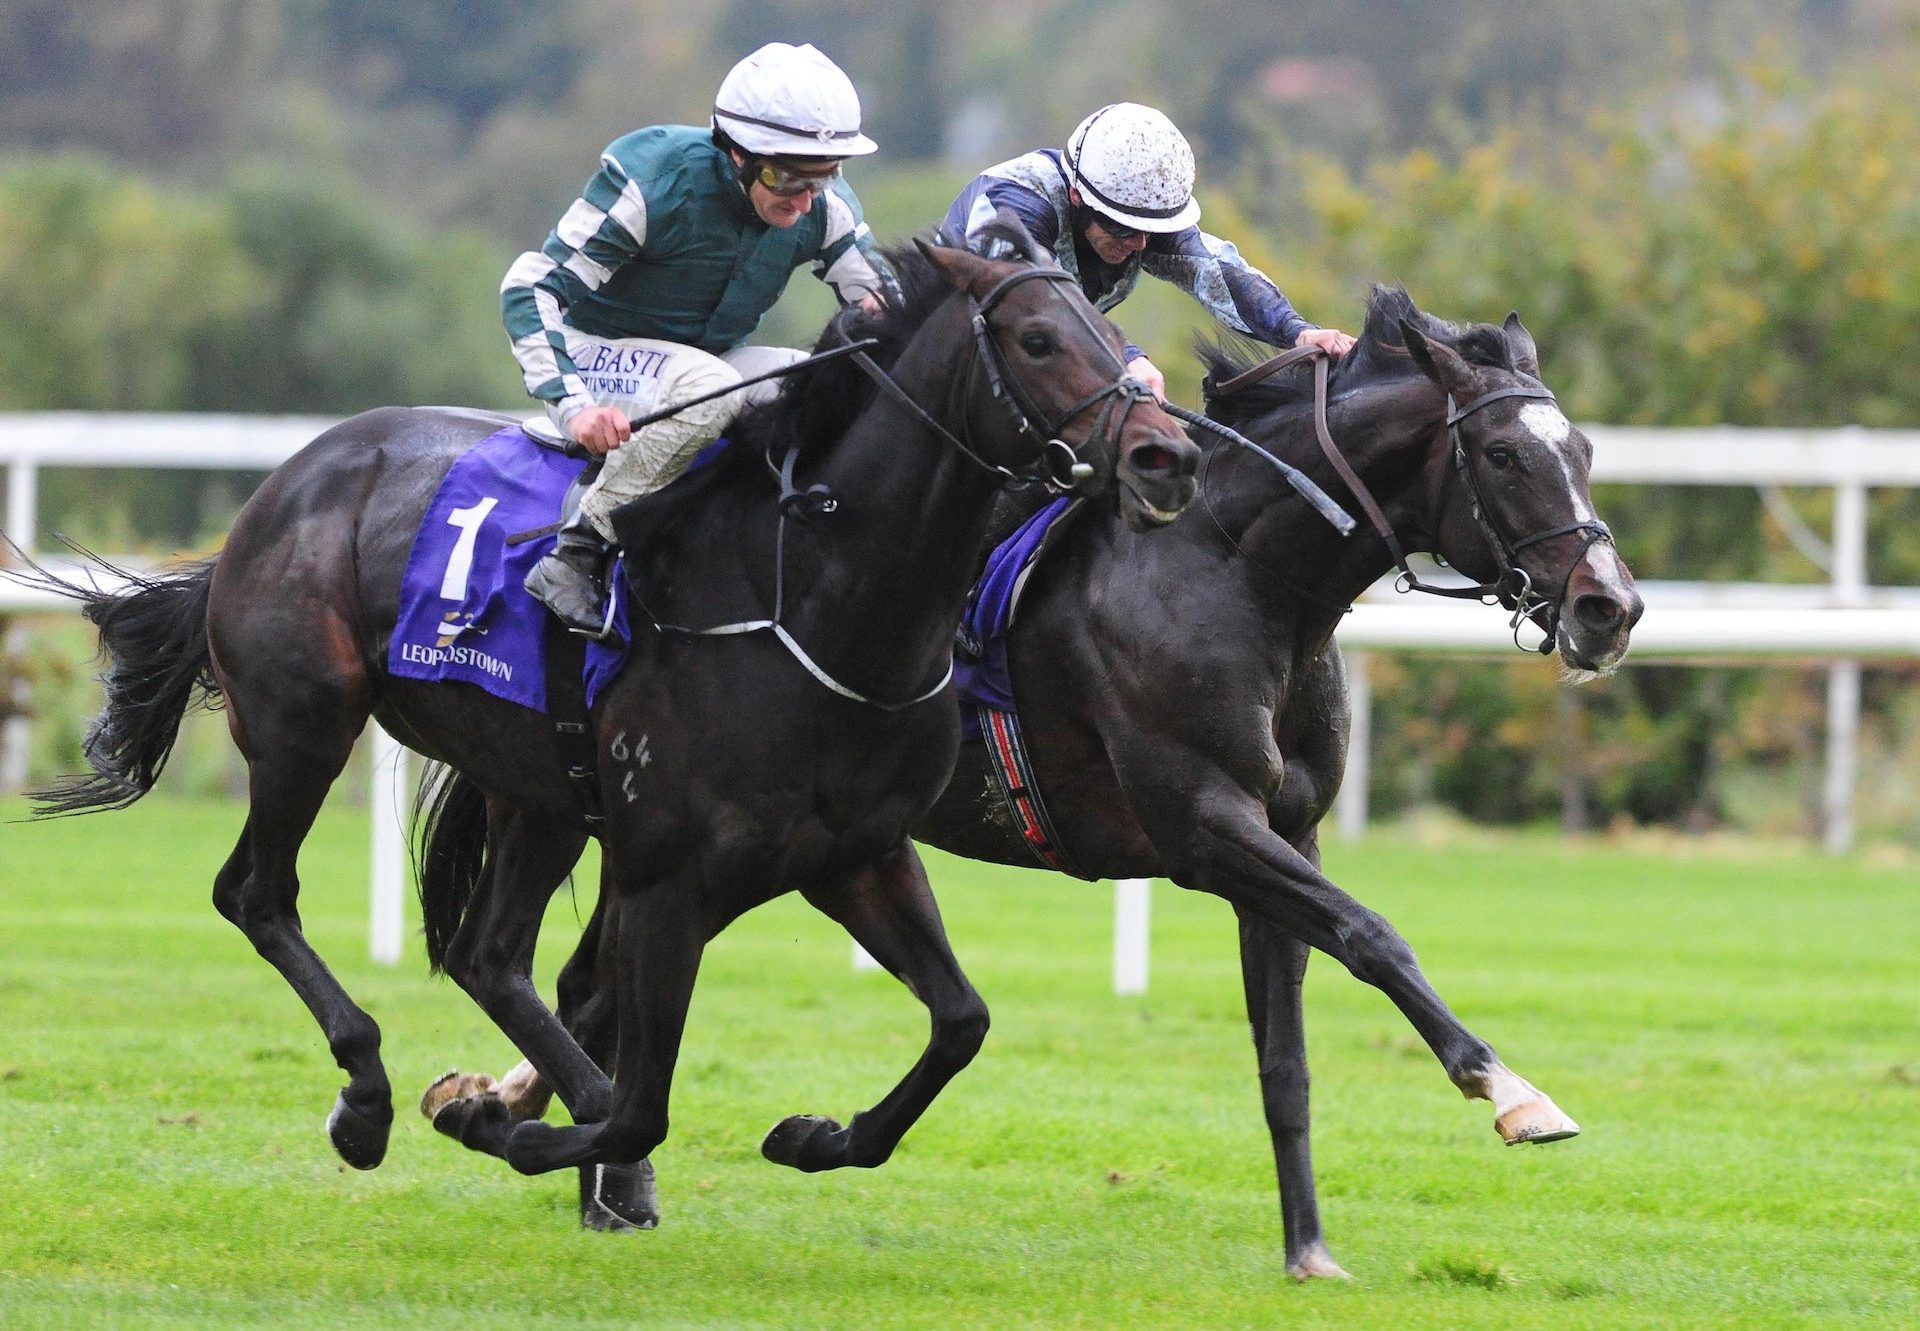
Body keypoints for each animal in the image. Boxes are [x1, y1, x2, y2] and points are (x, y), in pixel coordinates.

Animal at [22, 225, 1198, 1213]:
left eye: (1118, 336)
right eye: (1040, 339)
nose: (1167, 456)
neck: (813, 598)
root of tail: (281, 487)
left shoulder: (856, 853)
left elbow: (960, 1022)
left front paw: (813, 1133)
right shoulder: (668, 874)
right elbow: (641, 1104)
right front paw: (515, 1127)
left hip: (535, 787)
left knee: (489, 952)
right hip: (304, 723)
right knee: (258, 894)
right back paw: (370, 1099)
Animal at [487, 286, 1643, 1259]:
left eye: (1585, 448)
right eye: (1502, 451)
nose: (1611, 606)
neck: (1236, 570)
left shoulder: (1285, 830)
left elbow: (1286, 1058)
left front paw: (1309, 1247)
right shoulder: (1205, 827)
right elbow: (1374, 933)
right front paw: (1513, 1091)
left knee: (592, 984)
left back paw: (543, 1131)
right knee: (594, 981)